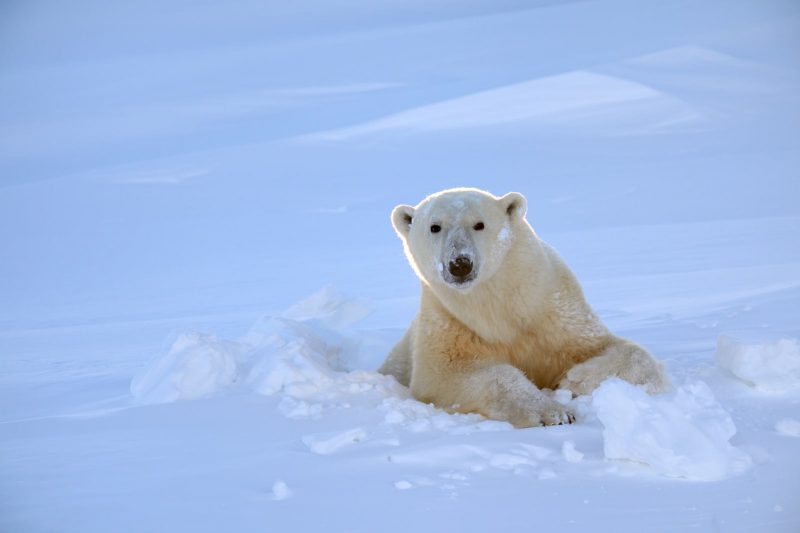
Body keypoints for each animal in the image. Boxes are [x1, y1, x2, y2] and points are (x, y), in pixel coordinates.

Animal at [378, 189, 664, 426]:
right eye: (435, 227)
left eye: (479, 224)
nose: (460, 263)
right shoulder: (449, 323)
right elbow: (446, 375)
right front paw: (552, 412)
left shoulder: (556, 314)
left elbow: (625, 351)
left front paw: (576, 380)